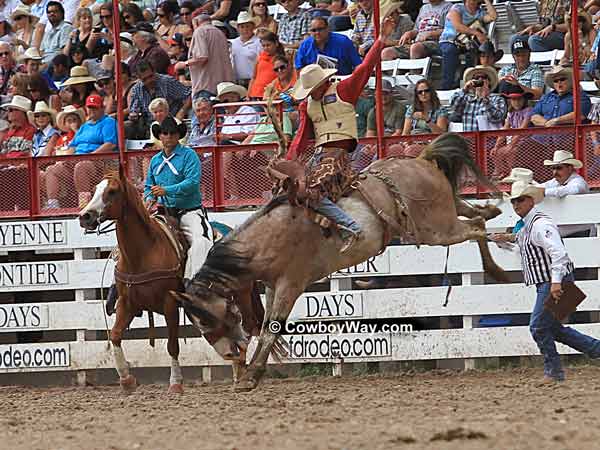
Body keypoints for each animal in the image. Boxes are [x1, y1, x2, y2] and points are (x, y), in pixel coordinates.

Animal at [77, 169, 260, 394]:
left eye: (112, 191)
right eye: (95, 189)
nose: (85, 217)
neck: (144, 252)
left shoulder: (170, 303)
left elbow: (172, 344)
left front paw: (176, 382)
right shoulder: (127, 303)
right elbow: (116, 335)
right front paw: (127, 380)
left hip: (242, 294)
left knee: (248, 326)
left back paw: (242, 372)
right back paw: (237, 371)